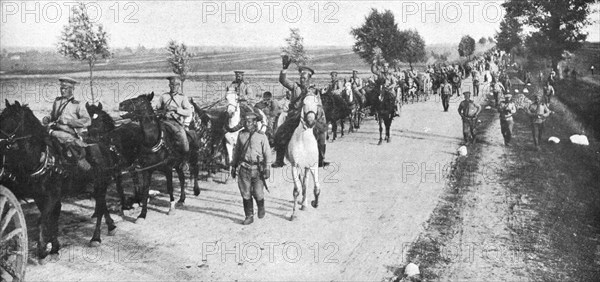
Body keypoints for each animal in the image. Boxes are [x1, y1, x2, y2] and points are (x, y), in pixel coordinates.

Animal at [0, 99, 116, 262]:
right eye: (1, 116)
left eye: (12, 118)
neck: (42, 157)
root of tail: (104, 148)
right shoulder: (40, 197)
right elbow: (50, 220)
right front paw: (54, 247)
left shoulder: (52, 196)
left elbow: (43, 221)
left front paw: (42, 251)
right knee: (102, 206)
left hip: (101, 185)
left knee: (99, 209)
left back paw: (96, 238)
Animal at [118, 92, 202, 223]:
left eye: (140, 101)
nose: (121, 104)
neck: (153, 141)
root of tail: (192, 132)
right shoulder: (147, 170)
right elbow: (145, 190)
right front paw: (142, 214)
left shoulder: (168, 169)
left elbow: (170, 188)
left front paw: (171, 209)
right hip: (178, 165)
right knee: (182, 179)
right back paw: (181, 199)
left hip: (193, 159)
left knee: (195, 171)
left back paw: (196, 190)